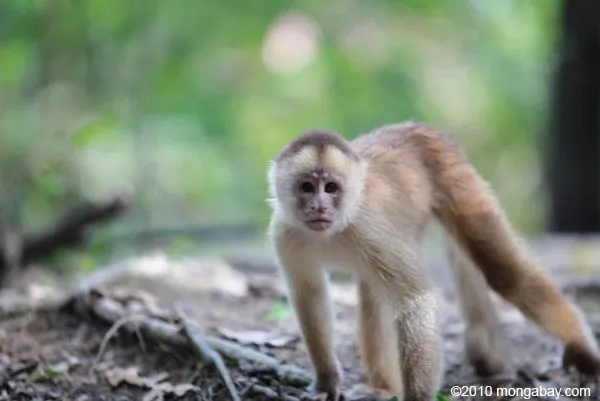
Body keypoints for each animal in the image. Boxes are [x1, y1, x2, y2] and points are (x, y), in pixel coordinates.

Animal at [268, 122, 600, 400]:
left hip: (456, 177)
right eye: (307, 187)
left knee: (503, 272)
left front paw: (416, 397)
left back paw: (582, 348)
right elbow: (309, 295)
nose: (319, 206)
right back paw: (384, 388)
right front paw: (327, 381)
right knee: (373, 294)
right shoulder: (285, 233)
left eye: (331, 188)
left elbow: (416, 297)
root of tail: (416, 127)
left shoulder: (366, 229)